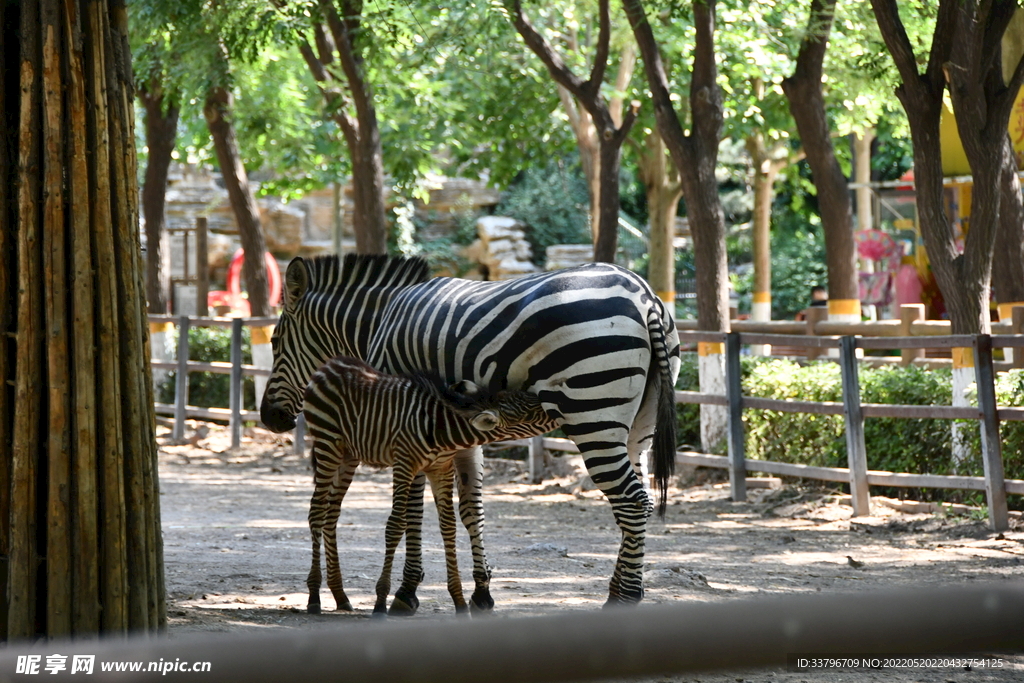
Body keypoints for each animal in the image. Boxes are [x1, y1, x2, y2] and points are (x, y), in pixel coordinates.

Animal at [303, 356, 557, 618]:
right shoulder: (404, 463)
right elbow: (396, 525)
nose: (559, 411)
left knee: (331, 513)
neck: (442, 430)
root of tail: (332, 363)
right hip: (327, 446)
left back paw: (340, 596)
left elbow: (449, 527)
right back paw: (314, 597)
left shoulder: (441, 469)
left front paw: (459, 601)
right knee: (317, 511)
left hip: (348, 455)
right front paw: (381, 602)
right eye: (529, 414)